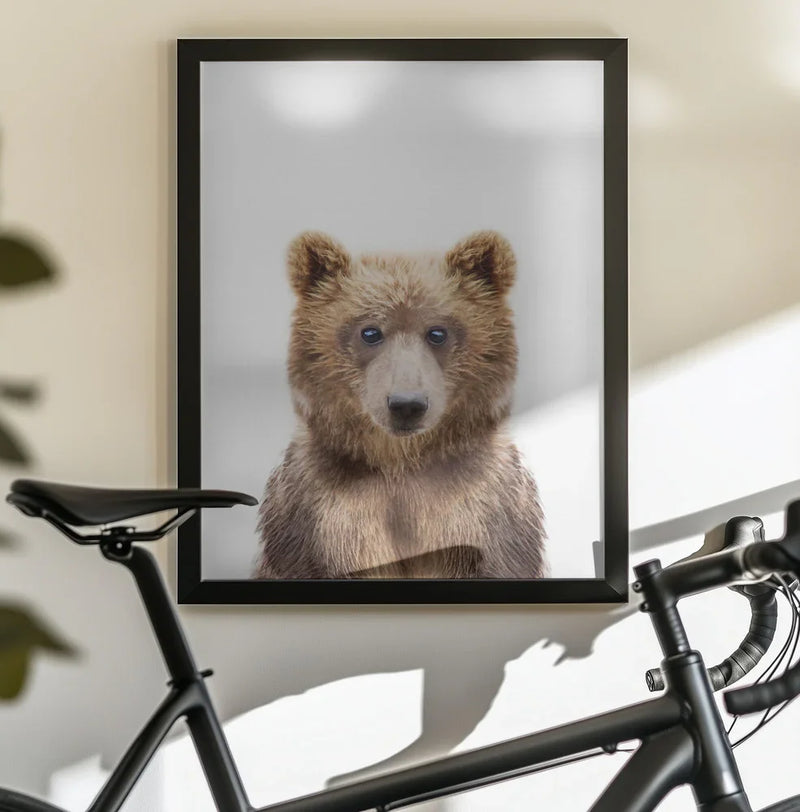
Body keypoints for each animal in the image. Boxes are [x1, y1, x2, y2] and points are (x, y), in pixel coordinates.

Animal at [253, 230, 547, 579]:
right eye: (370, 332)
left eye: (437, 332)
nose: (407, 404)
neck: (400, 463)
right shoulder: (322, 517)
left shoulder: (480, 510)